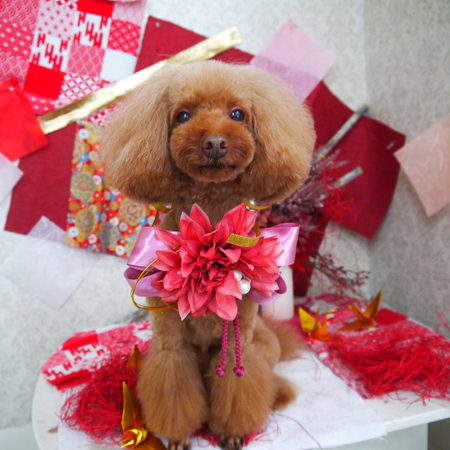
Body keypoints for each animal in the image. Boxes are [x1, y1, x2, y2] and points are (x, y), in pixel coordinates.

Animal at [101, 60, 316, 450]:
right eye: (183, 115)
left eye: (238, 114)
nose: (214, 141)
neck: (210, 229)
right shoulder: (169, 337)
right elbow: (173, 381)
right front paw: (178, 435)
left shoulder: (240, 334)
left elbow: (237, 381)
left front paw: (232, 431)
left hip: (264, 342)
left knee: (269, 373)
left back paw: (277, 394)